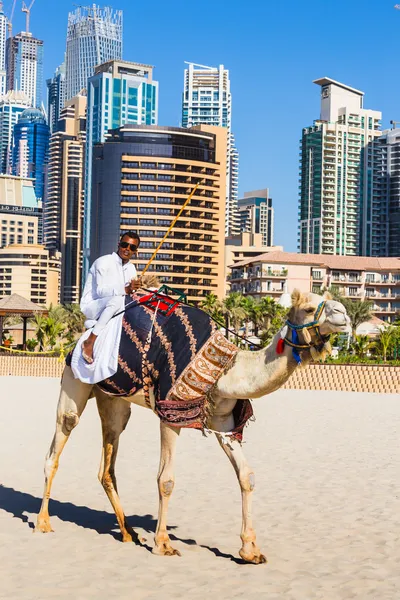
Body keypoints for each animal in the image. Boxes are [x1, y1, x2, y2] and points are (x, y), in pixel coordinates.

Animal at [35, 290, 350, 564]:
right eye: (308, 308)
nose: (344, 314)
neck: (225, 372)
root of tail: (80, 338)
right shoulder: (170, 414)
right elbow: (166, 480)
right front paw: (163, 544)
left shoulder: (224, 422)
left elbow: (246, 476)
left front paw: (250, 550)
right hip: (74, 382)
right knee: (57, 446)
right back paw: (43, 522)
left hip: (114, 401)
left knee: (107, 464)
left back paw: (128, 532)